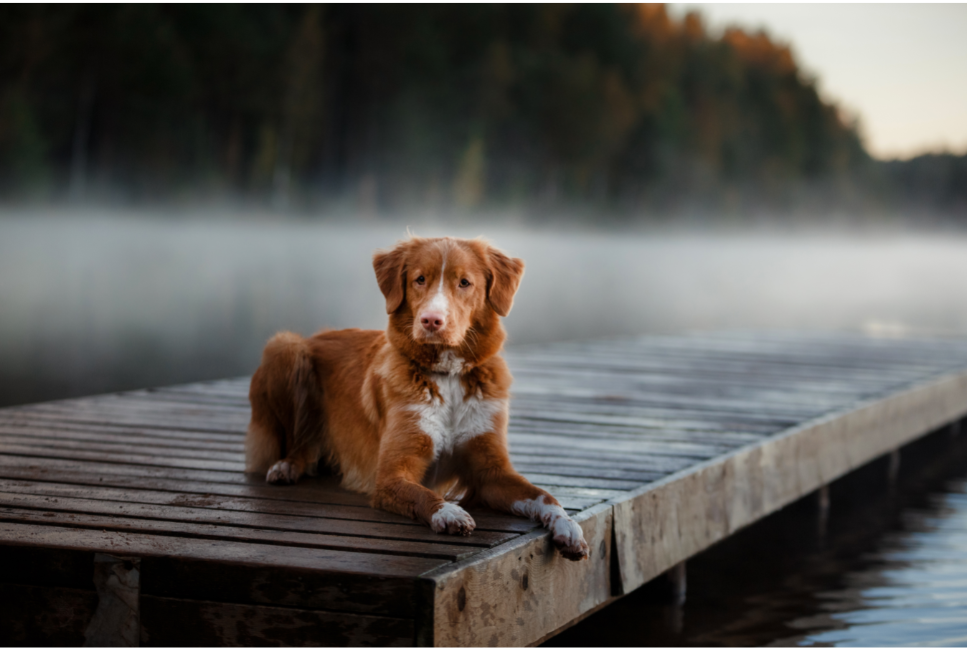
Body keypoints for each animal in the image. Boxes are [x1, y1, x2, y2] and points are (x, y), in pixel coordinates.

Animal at [244, 235, 588, 560]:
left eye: (464, 282)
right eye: (420, 279)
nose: (431, 320)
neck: (448, 376)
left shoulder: (492, 473)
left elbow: (542, 494)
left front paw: (568, 526)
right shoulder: (390, 475)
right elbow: (423, 494)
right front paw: (448, 512)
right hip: (285, 347)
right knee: (299, 442)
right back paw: (287, 466)